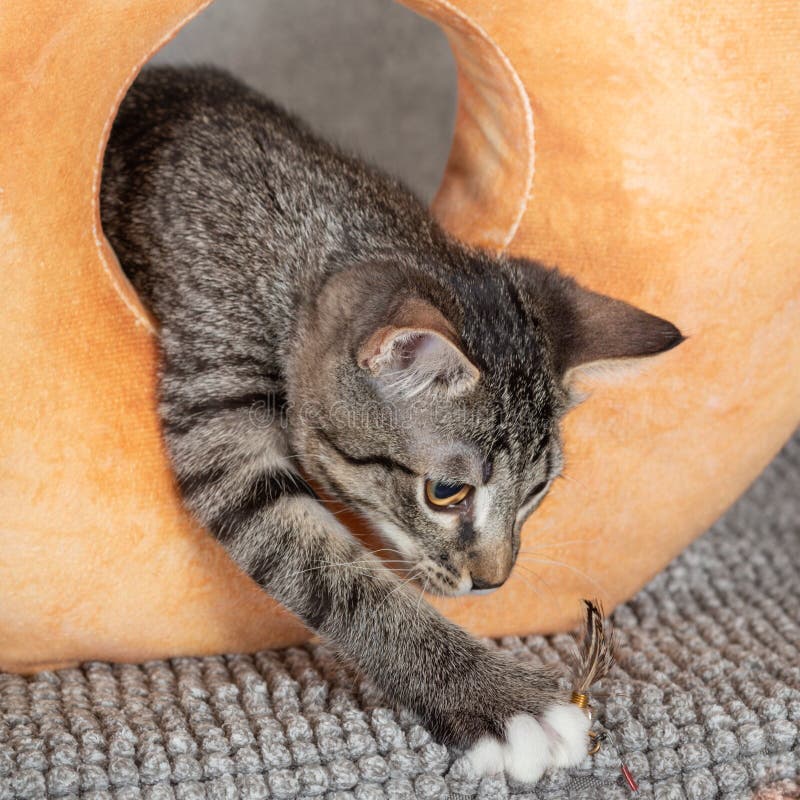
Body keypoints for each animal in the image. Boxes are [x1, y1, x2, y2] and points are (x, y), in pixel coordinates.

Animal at [101, 67, 680, 780]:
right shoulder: (220, 417)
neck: (304, 228)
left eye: (537, 492)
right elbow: (344, 582)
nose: (494, 581)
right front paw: (498, 698)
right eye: (446, 492)